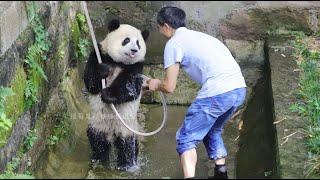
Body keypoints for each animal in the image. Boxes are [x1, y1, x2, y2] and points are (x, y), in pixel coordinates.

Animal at [84, 19, 151, 170]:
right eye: (126, 40)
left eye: (138, 43)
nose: (134, 50)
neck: (119, 62)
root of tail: (112, 133)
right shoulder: (101, 54)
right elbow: (91, 81)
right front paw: (102, 71)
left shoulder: (137, 67)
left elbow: (130, 88)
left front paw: (107, 94)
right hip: (98, 122)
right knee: (97, 140)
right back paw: (98, 159)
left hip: (127, 125)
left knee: (127, 144)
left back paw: (126, 165)